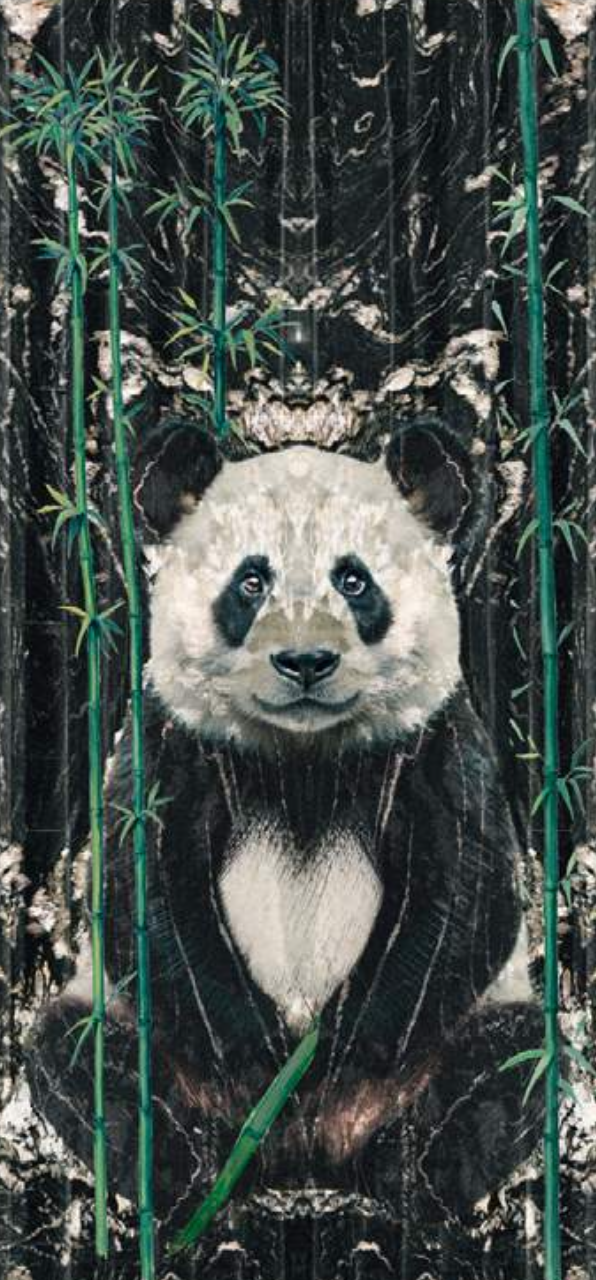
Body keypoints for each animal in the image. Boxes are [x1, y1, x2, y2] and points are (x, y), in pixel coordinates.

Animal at [29, 420, 543, 1269]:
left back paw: (402, 1181)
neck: (302, 752)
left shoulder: (435, 736)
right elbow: (141, 888)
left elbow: (472, 892)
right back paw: (197, 1177)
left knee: (514, 1062)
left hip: (461, 1043)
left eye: (355, 581)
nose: (306, 661)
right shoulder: (170, 736)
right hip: (131, 1033)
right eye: (250, 583)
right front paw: (255, 1049)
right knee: (80, 1058)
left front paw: (336, 1045)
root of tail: (305, 1153)